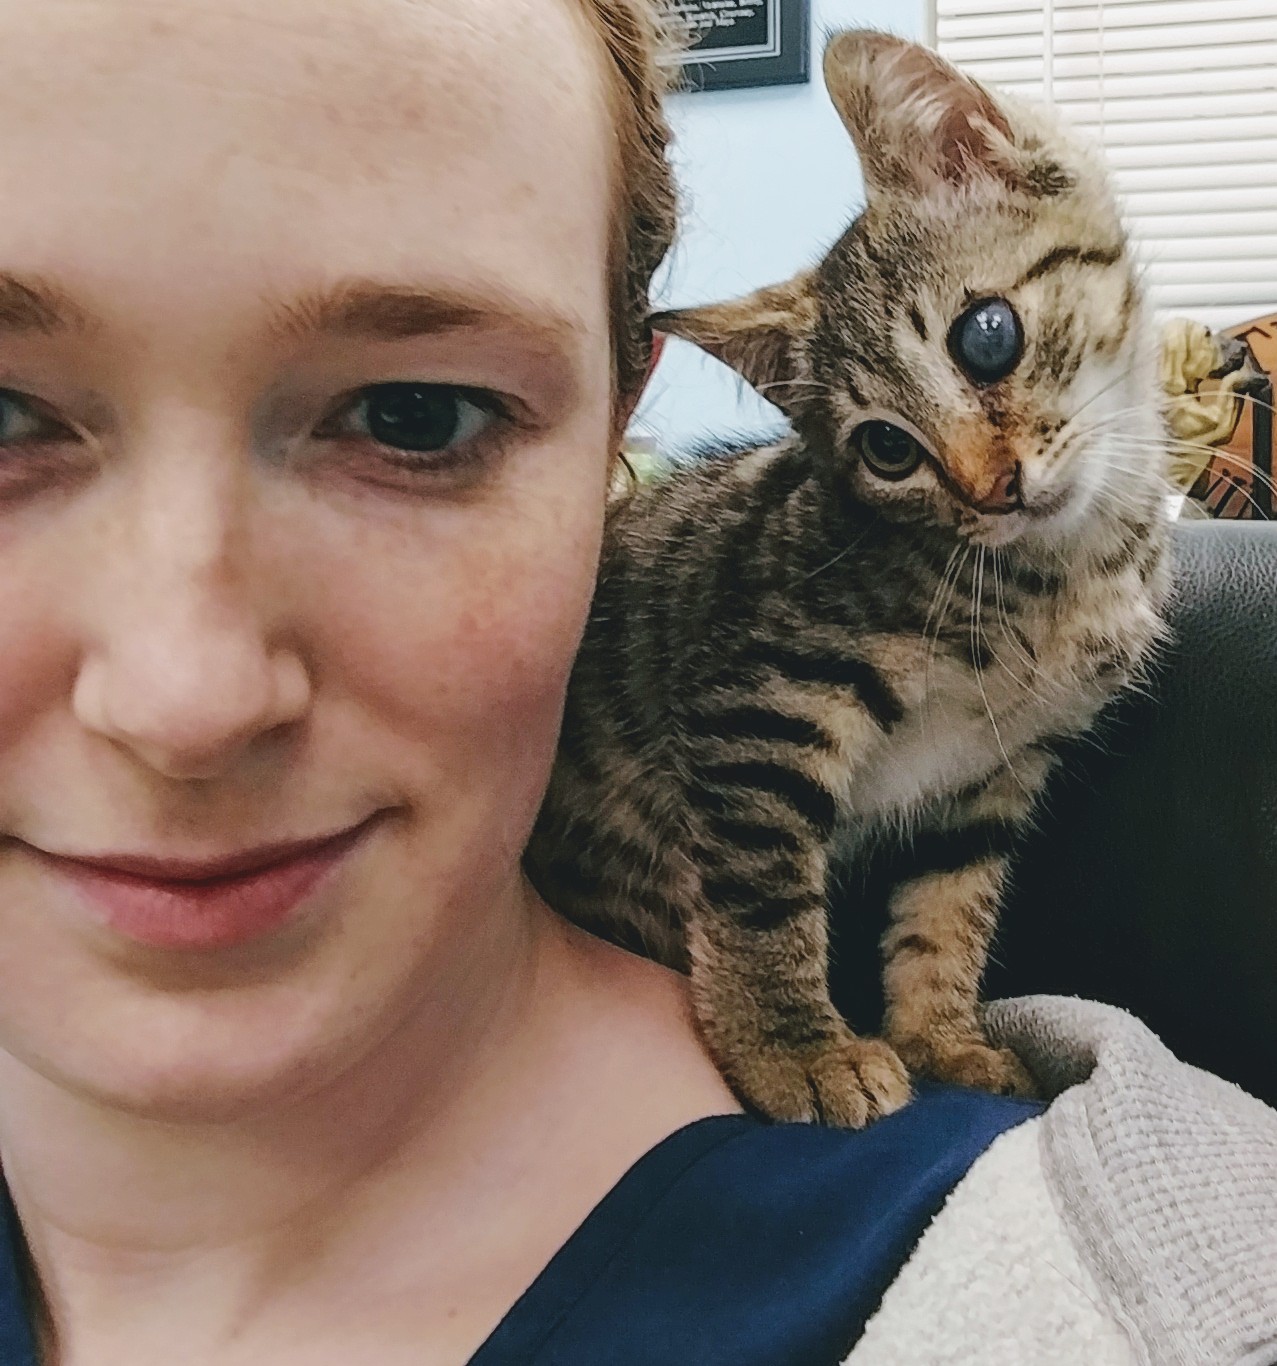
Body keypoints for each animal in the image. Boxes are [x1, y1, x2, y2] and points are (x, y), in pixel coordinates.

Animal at [524, 29, 1174, 1131]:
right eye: (885, 449)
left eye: (986, 335)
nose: (992, 489)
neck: (1060, 575)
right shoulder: (762, 696)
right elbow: (760, 892)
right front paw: (795, 1046)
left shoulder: (995, 773)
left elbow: (946, 909)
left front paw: (941, 1035)